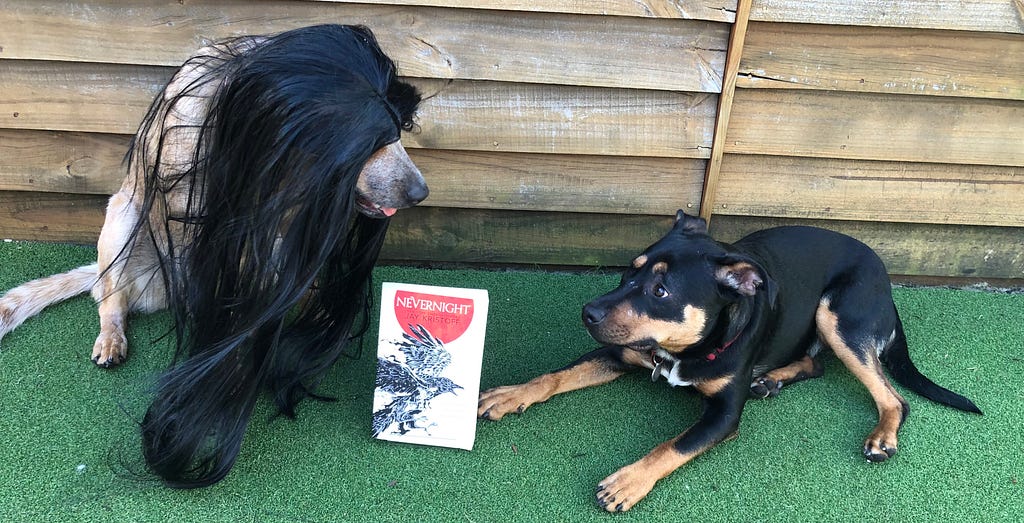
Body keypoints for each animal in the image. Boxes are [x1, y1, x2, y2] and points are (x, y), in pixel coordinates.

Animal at [479, 208, 983, 511]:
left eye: (661, 291)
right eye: (629, 271)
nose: (589, 312)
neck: (688, 348)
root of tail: (888, 285)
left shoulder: (722, 416)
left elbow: (674, 445)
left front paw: (628, 481)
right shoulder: (620, 352)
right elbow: (555, 375)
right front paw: (510, 394)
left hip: (838, 315)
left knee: (893, 397)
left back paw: (882, 436)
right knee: (816, 363)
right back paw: (772, 379)